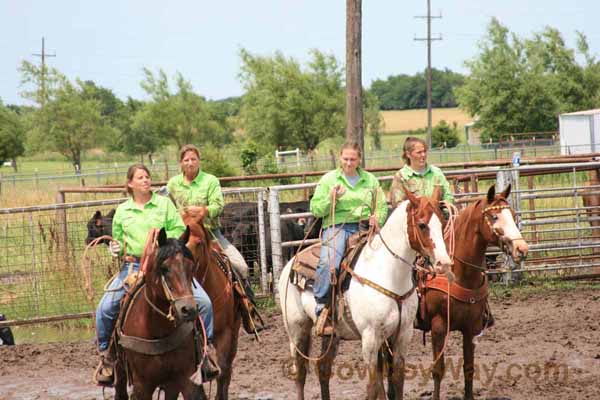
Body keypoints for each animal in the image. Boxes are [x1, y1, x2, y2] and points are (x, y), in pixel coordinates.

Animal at [114, 228, 204, 400]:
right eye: (164, 268)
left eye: (191, 267)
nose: (188, 310)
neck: (157, 331)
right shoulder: (142, 386)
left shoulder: (185, 379)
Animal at [278, 188, 452, 400]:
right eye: (422, 224)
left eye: (442, 222)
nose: (444, 263)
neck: (389, 274)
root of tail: (290, 263)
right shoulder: (370, 337)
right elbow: (372, 386)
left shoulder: (403, 334)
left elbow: (397, 381)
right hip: (297, 328)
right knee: (300, 373)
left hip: (332, 334)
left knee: (323, 367)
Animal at [422, 185, 528, 400]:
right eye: (494, 217)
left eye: (513, 215)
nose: (522, 248)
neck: (459, 273)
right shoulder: (438, 327)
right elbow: (438, 370)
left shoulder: (471, 327)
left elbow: (469, 368)